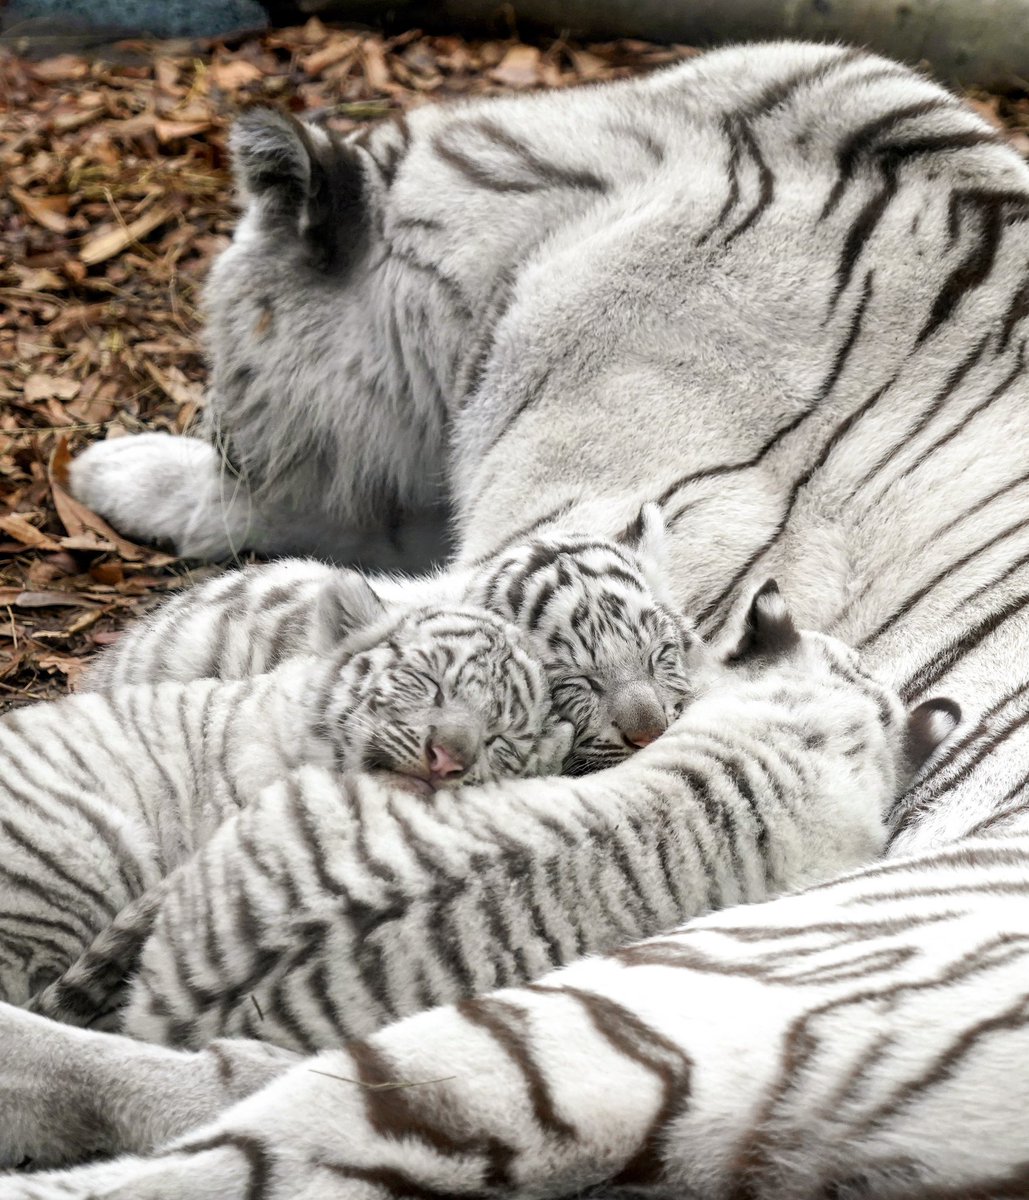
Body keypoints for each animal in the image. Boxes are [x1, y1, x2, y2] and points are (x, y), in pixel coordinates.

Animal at [14, 37, 1026, 1200]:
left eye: (232, 338)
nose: (220, 424)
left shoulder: (559, 541)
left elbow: (293, 607)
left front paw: (119, 474)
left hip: (665, 990)